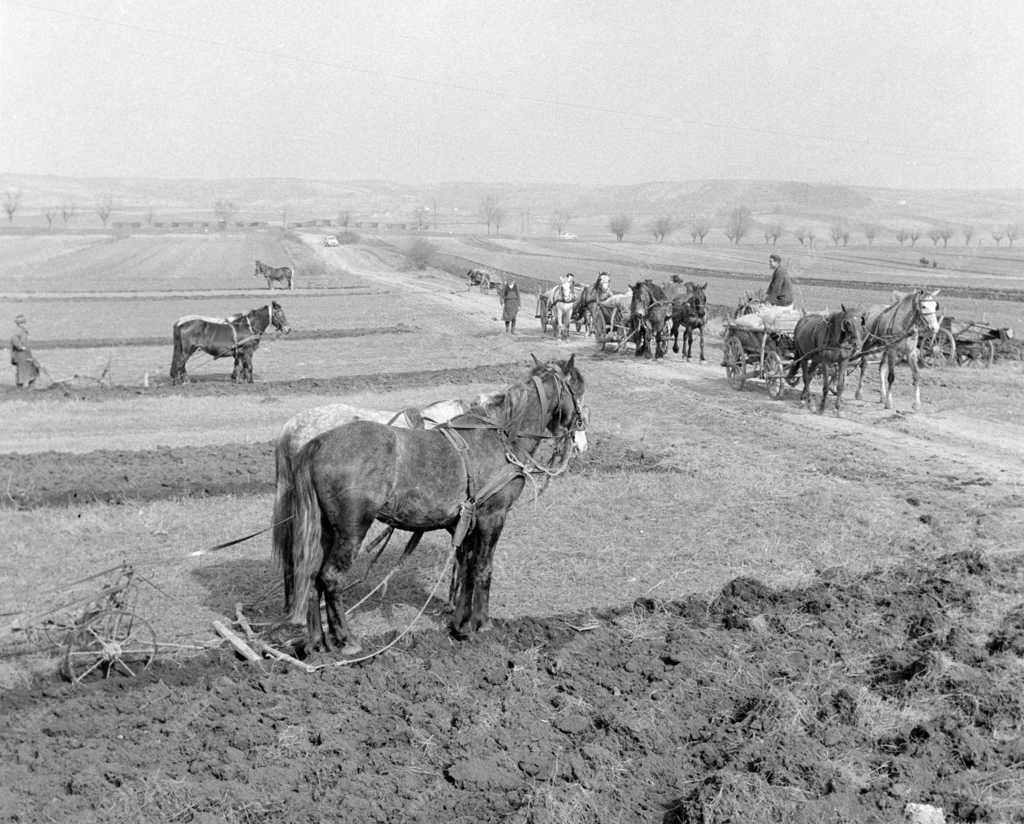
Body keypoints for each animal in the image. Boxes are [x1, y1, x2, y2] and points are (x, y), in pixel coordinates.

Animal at [280, 356, 589, 655]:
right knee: (331, 578)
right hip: (351, 529)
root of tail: (318, 442)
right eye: (579, 389)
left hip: (325, 528)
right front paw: (482, 624)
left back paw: (317, 642)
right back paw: (347, 640)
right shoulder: (493, 516)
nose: (580, 435)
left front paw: (461, 624)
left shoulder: (466, 520)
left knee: (311, 575)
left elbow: (465, 566)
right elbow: (483, 567)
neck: (502, 436)